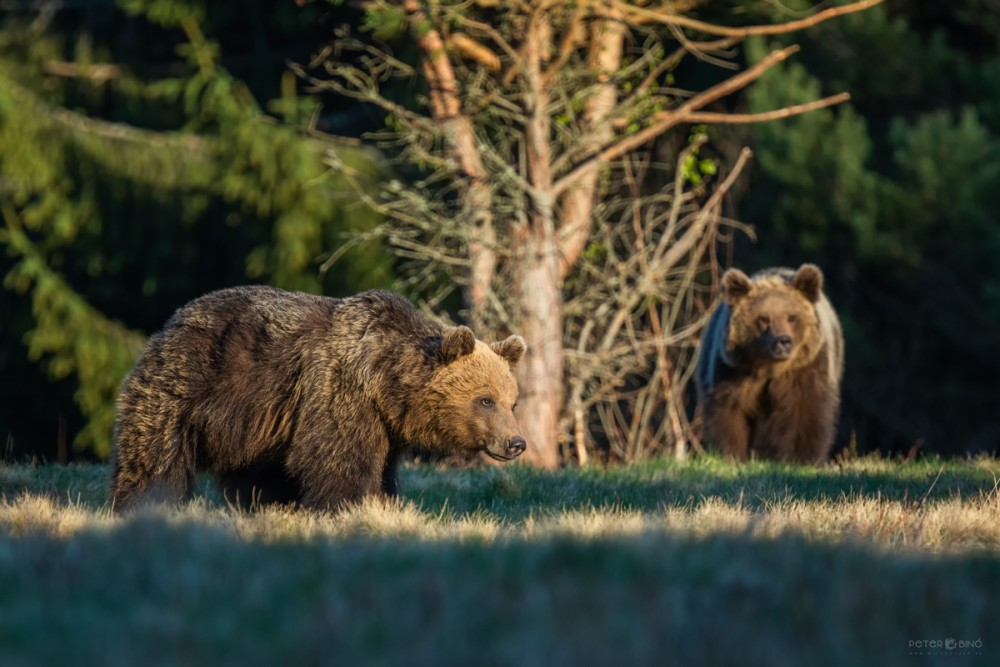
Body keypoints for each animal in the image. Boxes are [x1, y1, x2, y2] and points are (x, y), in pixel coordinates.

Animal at [107, 286, 532, 512]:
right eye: (485, 400)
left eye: (511, 402)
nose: (516, 442)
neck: (385, 383)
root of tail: (174, 319)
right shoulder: (338, 392)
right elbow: (338, 460)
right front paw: (349, 506)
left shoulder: (382, 425)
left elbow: (382, 470)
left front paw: (384, 503)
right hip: (190, 383)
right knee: (156, 451)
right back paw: (143, 502)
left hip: (258, 421)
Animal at [696, 264, 844, 464]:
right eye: (763, 318)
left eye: (791, 317)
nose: (784, 341)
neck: (770, 368)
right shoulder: (733, 370)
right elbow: (730, 409)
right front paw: (731, 454)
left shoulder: (805, 368)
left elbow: (804, 411)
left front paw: (801, 458)